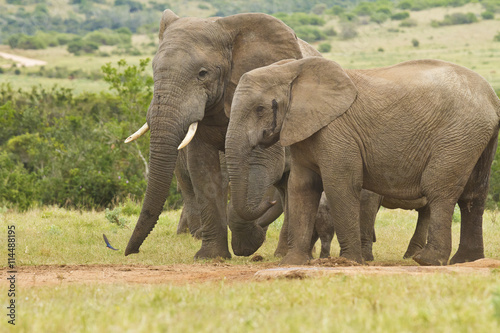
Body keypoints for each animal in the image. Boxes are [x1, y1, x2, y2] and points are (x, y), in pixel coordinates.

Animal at [124, 9, 320, 256]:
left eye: (202, 73)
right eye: (153, 70)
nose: (131, 252)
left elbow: (262, 165)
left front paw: (249, 243)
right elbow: (202, 170)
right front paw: (211, 256)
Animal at [227, 56, 500, 264]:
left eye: (260, 109)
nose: (270, 201)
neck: (295, 69)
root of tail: (492, 98)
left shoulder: (336, 132)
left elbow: (340, 185)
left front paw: (348, 262)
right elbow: (302, 187)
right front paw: (292, 263)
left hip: (457, 134)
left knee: (439, 189)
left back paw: (428, 261)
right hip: (477, 135)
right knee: (474, 195)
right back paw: (467, 260)